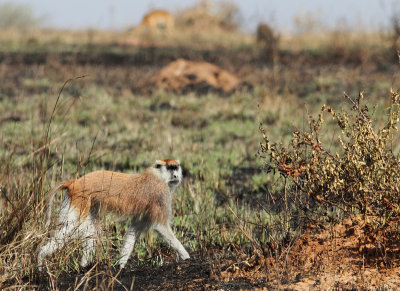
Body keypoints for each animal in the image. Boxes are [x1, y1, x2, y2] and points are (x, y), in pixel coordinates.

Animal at [37, 161, 189, 270]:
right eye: (170, 168)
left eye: (176, 168)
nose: (176, 176)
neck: (158, 177)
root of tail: (75, 182)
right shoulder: (160, 196)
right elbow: (160, 226)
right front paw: (186, 257)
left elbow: (134, 230)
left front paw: (121, 265)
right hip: (80, 200)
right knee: (73, 227)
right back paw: (41, 256)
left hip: (88, 202)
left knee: (90, 230)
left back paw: (84, 266)